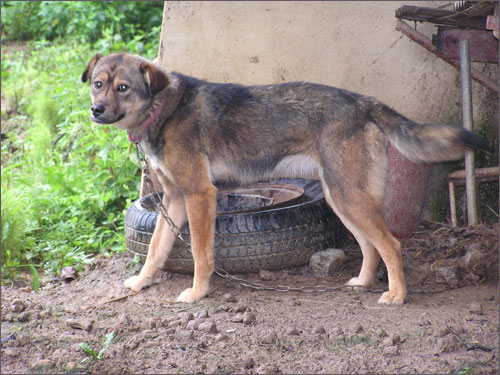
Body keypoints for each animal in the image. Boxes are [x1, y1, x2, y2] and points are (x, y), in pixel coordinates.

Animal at [81, 53, 484, 306]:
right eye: (98, 83)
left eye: (123, 88)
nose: (95, 110)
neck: (163, 108)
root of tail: (361, 101)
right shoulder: (174, 201)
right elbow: (154, 249)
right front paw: (141, 283)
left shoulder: (198, 196)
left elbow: (199, 253)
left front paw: (197, 294)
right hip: (341, 199)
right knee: (371, 246)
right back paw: (364, 282)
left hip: (349, 198)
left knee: (392, 245)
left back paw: (397, 294)